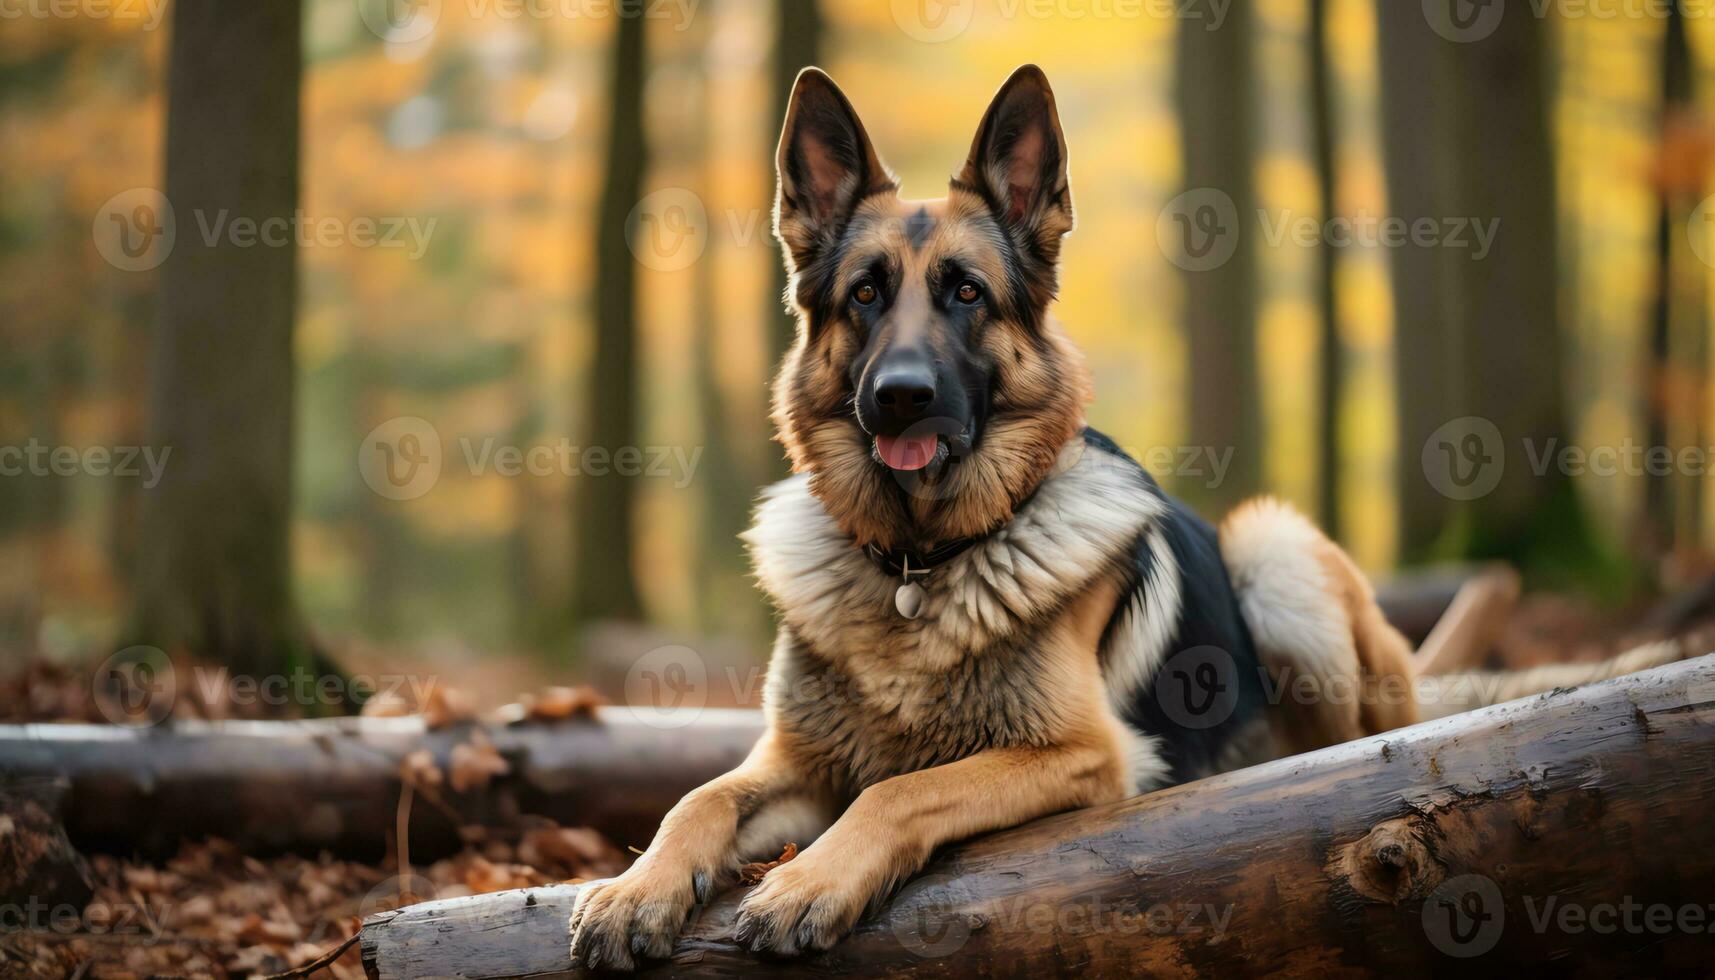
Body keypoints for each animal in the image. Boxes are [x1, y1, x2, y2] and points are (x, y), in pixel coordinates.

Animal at [569, 65, 1680, 967]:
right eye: (864, 295)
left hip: (1272, 555)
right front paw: (635, 887)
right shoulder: (795, 765)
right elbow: (700, 795)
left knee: (1350, 747)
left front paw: (809, 878)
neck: (922, 564)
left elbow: (901, 788)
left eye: (965, 294)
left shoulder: (1081, 753)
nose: (900, 396)